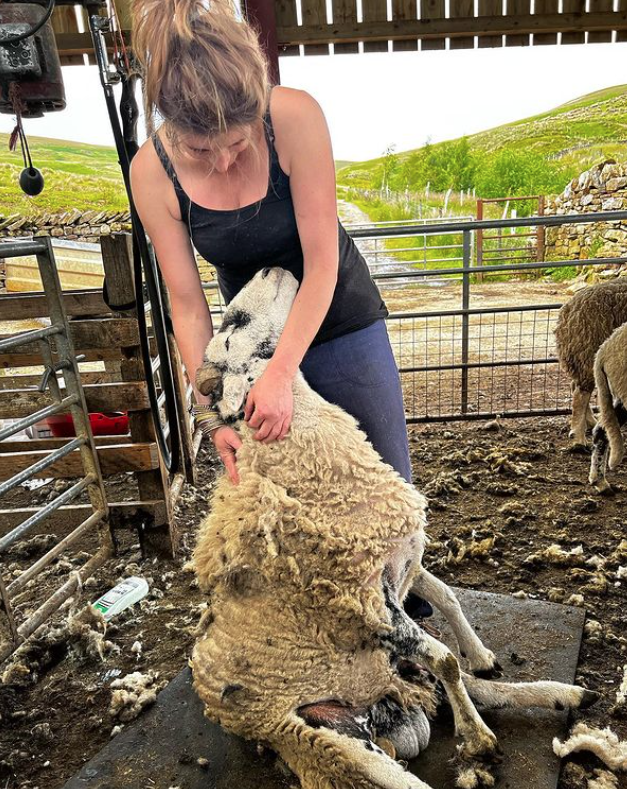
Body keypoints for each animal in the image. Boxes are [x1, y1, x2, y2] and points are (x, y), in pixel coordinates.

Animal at [193, 268, 600, 788]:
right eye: (232, 327)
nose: (270, 268)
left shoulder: (401, 561)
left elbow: (447, 602)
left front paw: (480, 654)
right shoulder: (371, 604)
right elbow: (444, 657)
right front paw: (478, 735)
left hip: (389, 676)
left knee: (468, 686)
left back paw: (562, 694)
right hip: (323, 736)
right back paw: (505, 723)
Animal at [556, 282, 627, 444]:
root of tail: (567, 311)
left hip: (580, 357)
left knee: (575, 385)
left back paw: (590, 423)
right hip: (589, 352)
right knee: (580, 394)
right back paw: (578, 438)